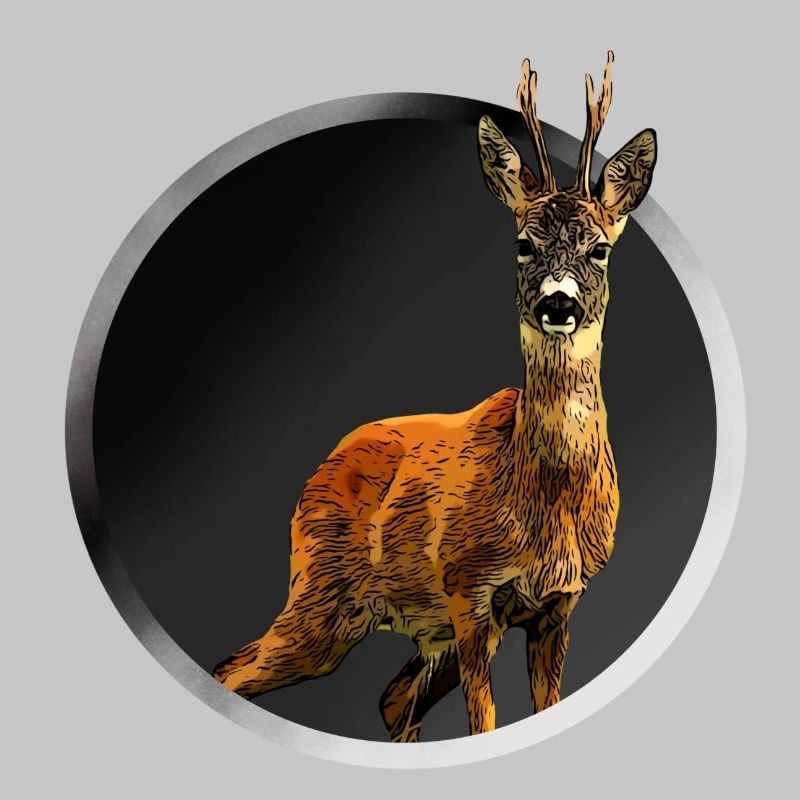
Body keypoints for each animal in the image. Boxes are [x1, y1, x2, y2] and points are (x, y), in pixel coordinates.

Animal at [212, 51, 657, 740]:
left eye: (601, 248)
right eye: (522, 243)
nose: (558, 304)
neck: (542, 502)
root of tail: (321, 468)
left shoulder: (558, 605)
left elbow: (542, 706)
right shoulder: (468, 589)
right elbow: (486, 723)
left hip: (409, 625)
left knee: (391, 698)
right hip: (321, 595)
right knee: (234, 670)